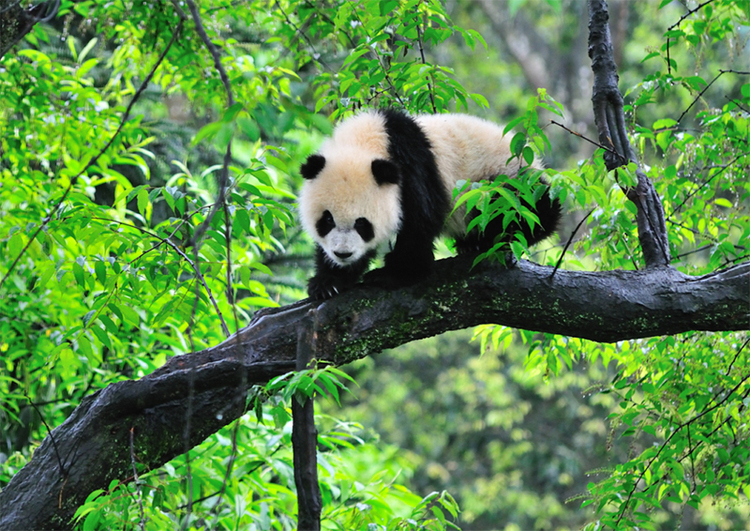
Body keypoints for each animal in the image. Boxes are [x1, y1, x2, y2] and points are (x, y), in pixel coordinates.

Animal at [296, 109, 560, 300]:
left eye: (362, 224)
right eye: (327, 220)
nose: (343, 254)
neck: (368, 139)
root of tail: (536, 163)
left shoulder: (412, 168)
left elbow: (420, 221)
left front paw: (393, 274)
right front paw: (329, 282)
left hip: (504, 179)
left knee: (527, 209)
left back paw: (489, 239)